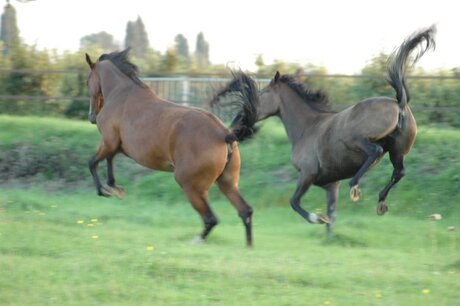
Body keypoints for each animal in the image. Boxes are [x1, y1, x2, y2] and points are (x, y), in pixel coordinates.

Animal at [84, 49, 258, 246]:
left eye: (87, 81)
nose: (91, 117)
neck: (120, 94)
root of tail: (225, 134)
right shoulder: (114, 146)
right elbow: (109, 162)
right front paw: (114, 188)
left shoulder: (108, 141)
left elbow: (92, 163)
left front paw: (105, 191)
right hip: (227, 183)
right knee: (245, 211)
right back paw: (248, 247)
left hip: (191, 186)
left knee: (210, 218)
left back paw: (196, 241)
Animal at [214, 26, 436, 237]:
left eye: (262, 94)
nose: (238, 121)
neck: (307, 127)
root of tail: (399, 103)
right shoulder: (330, 183)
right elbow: (332, 213)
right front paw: (328, 232)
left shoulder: (307, 174)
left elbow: (294, 202)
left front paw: (317, 219)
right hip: (397, 151)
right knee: (399, 171)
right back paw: (380, 202)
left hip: (359, 140)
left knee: (376, 152)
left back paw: (355, 186)